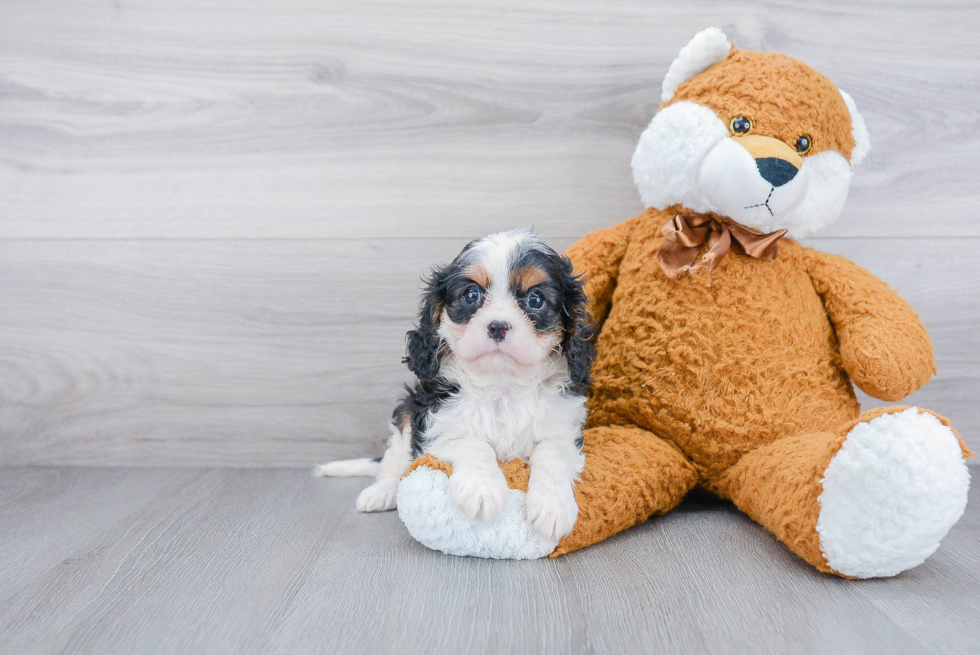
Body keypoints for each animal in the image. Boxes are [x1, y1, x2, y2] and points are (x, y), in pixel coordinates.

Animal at [318, 231, 592, 544]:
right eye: (472, 295)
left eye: (536, 300)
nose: (498, 326)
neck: (502, 384)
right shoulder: (434, 426)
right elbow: (472, 442)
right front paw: (482, 489)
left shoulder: (564, 431)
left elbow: (551, 452)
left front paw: (552, 506)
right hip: (406, 413)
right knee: (394, 463)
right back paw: (382, 492)